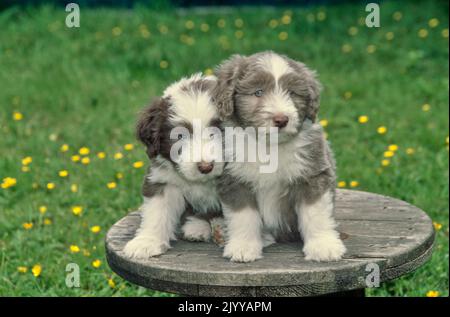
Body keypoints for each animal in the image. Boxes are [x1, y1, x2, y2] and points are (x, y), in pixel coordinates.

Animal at [123, 74, 225, 260]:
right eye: (179, 136)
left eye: (220, 130)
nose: (206, 167)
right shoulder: (163, 180)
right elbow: (157, 212)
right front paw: (146, 242)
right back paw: (196, 228)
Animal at [213, 50, 346, 262]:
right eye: (258, 92)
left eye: (292, 93)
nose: (281, 119)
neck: (269, 147)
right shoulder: (234, 179)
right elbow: (243, 216)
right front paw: (243, 247)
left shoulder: (313, 174)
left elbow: (315, 213)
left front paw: (323, 246)